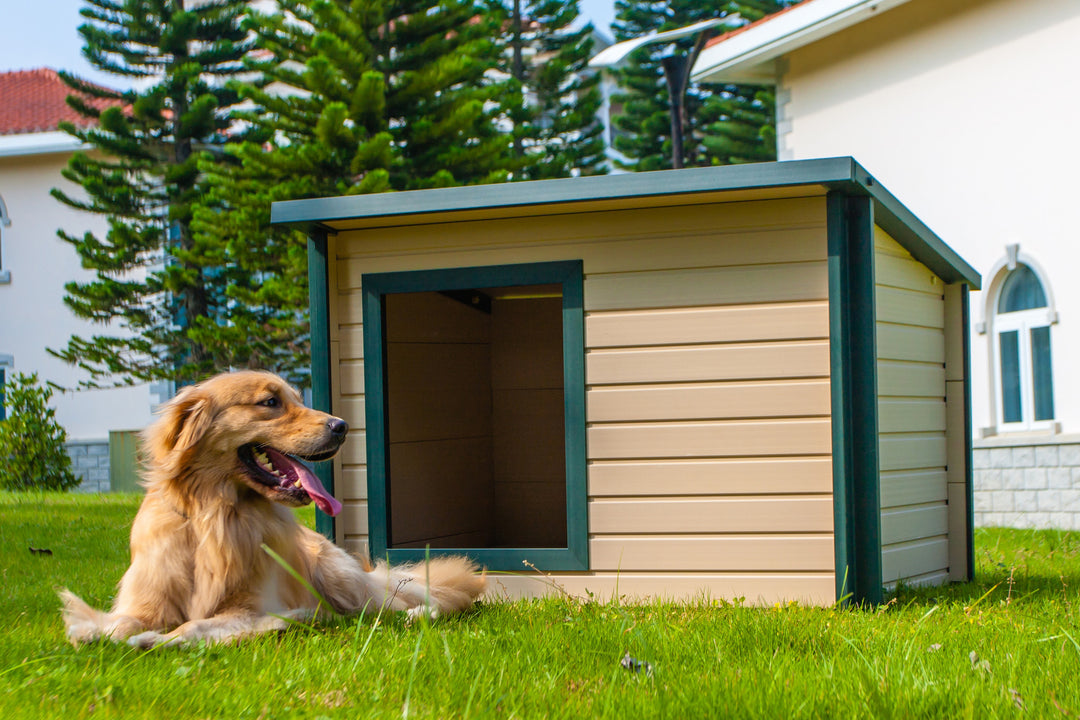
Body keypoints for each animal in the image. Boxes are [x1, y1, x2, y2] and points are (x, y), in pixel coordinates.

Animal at [56, 371, 483, 647]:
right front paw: (94, 631)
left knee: (398, 604)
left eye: (295, 398)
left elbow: (192, 628)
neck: (215, 514)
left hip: (339, 576)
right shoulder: (147, 599)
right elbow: (122, 623)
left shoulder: (253, 608)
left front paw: (156, 640)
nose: (342, 426)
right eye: (271, 402)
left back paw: (413, 614)